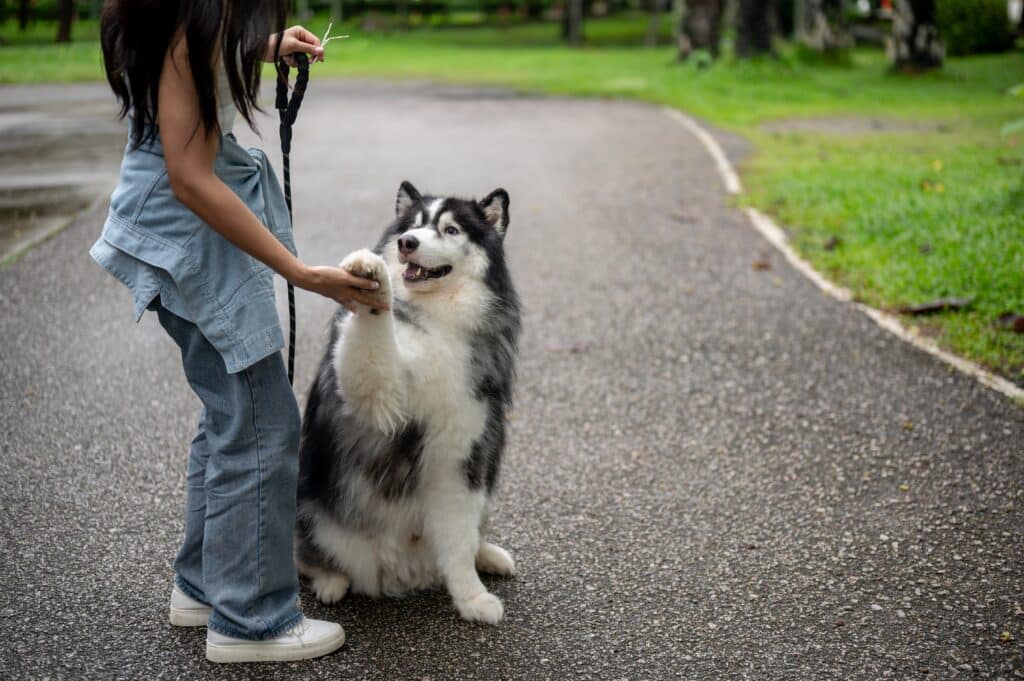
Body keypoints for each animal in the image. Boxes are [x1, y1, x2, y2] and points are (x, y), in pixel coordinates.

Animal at [294, 179, 520, 622]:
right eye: (413, 225)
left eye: (451, 230)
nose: (407, 243)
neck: (439, 322)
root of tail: (403, 570)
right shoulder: (381, 394)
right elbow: (373, 330)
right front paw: (371, 272)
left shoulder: (459, 455)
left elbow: (459, 540)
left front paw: (471, 597)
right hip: (309, 506)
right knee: (304, 556)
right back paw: (330, 580)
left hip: (483, 484)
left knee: (471, 535)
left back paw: (488, 555)